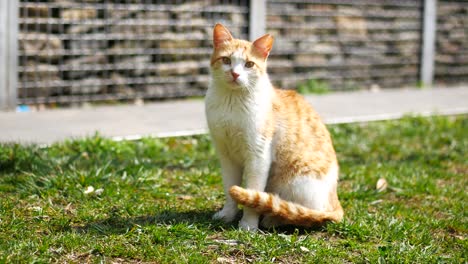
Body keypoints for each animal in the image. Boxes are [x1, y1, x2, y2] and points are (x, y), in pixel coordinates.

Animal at [205, 24, 344, 231]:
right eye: (226, 60)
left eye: (249, 64)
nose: (235, 74)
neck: (232, 101)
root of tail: (335, 202)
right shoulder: (227, 156)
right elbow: (230, 189)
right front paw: (228, 215)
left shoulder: (259, 156)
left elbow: (252, 193)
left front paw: (248, 224)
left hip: (296, 182)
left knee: (304, 214)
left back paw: (273, 218)